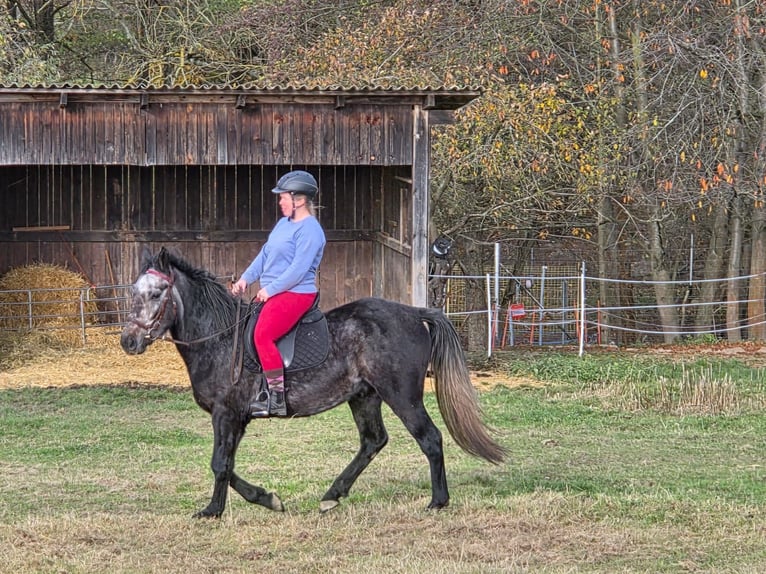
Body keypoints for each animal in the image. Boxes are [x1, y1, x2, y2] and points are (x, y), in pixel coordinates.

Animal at [120, 247, 506, 517]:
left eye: (157, 294)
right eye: (134, 293)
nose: (129, 341)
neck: (219, 337)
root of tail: (414, 313)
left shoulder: (225, 414)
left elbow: (219, 464)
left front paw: (212, 511)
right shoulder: (238, 418)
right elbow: (228, 465)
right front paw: (267, 499)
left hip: (401, 395)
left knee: (430, 438)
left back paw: (437, 501)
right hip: (364, 396)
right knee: (373, 441)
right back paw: (333, 495)